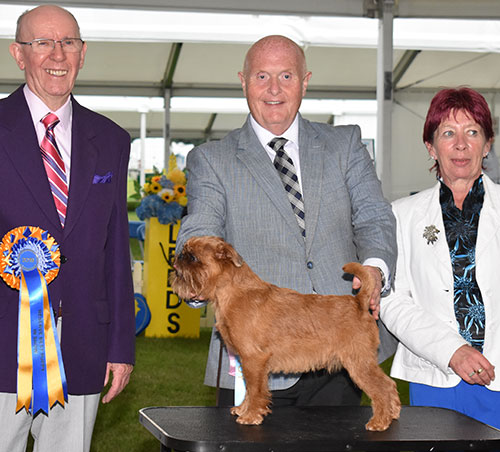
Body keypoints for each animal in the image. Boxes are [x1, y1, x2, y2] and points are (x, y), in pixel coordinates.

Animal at [170, 237, 400, 430]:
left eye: (192, 257)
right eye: (184, 252)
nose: (177, 257)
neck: (232, 292)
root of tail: (358, 302)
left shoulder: (253, 359)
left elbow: (255, 389)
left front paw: (250, 415)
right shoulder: (251, 362)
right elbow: (252, 389)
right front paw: (244, 409)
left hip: (359, 362)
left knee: (382, 387)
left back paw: (380, 421)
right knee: (389, 385)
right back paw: (393, 413)